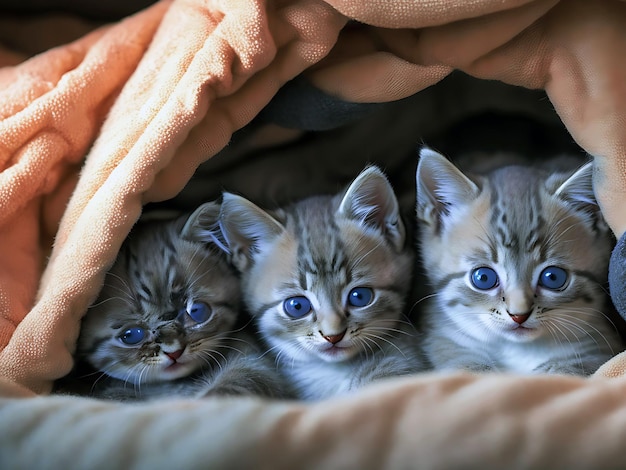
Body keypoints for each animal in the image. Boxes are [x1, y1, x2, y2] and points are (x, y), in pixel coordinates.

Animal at [412, 147, 620, 374]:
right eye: (483, 278)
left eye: (553, 277)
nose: (519, 315)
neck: (518, 349)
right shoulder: (445, 337)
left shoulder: (596, 347)